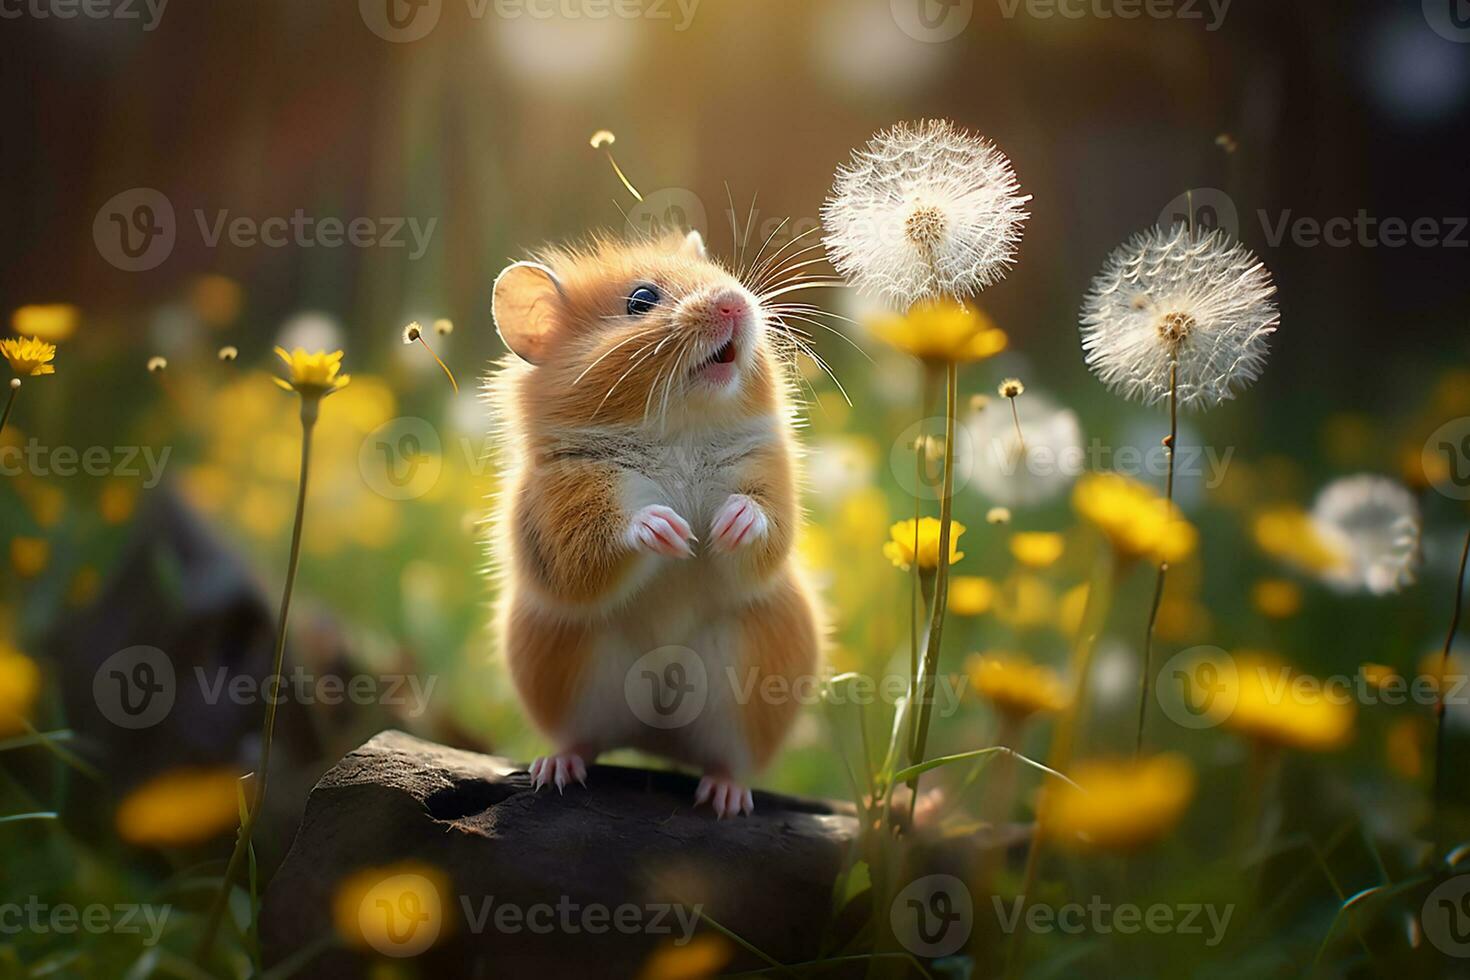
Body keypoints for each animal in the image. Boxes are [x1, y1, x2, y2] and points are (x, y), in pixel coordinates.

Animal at [488, 230, 823, 822]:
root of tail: (655, 739)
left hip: (743, 698)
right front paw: (670, 531)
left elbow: (764, 524)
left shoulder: (766, 477)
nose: (733, 302)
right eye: (641, 300)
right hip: (574, 681)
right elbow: (607, 538)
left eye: (718, 271)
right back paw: (555, 771)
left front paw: (726, 524)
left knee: (726, 761)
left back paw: (724, 800)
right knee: (582, 742)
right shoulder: (564, 508)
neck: (677, 430)